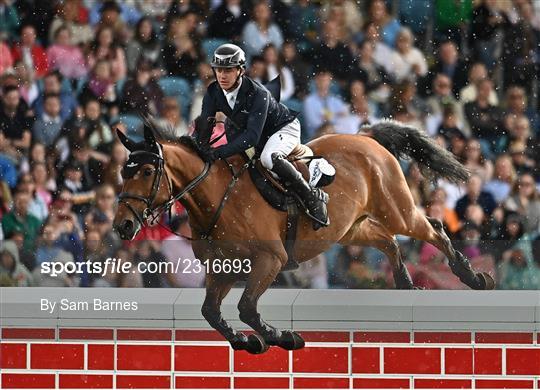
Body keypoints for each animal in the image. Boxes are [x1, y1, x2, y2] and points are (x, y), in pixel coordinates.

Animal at [113, 120, 494, 354]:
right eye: (122, 171)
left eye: (146, 171)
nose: (123, 226)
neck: (216, 197)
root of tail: (366, 136)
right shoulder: (224, 270)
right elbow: (211, 311)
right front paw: (248, 343)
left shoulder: (270, 261)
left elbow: (247, 307)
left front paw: (284, 337)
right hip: (350, 229)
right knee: (387, 241)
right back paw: (405, 284)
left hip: (395, 210)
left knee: (431, 228)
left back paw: (473, 277)